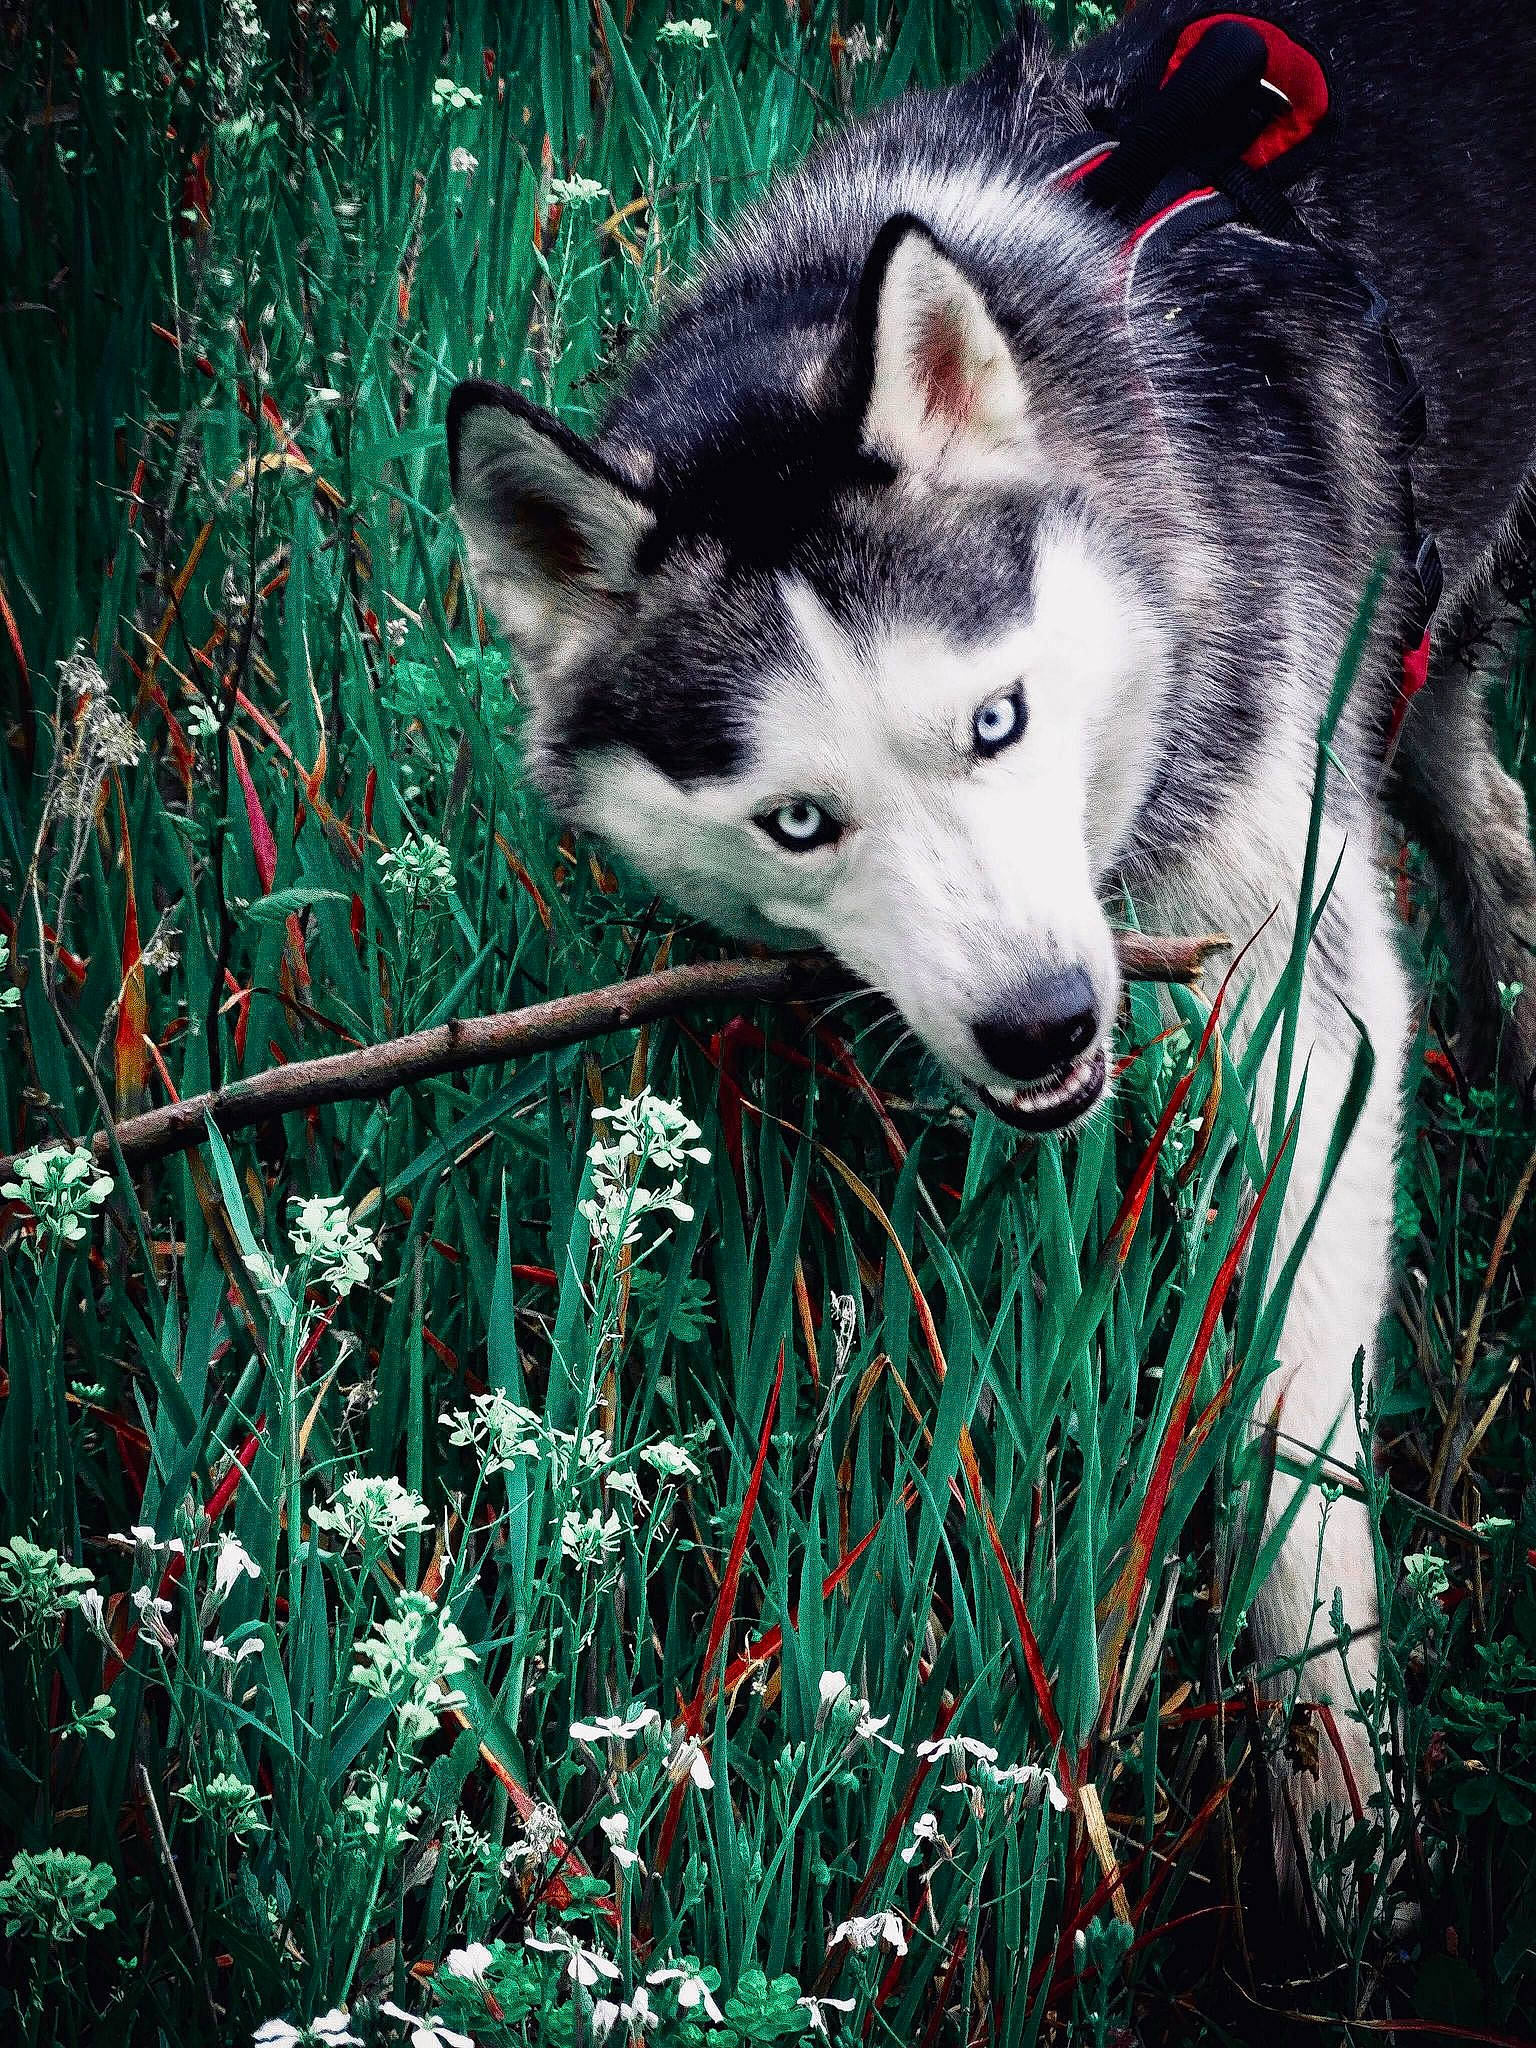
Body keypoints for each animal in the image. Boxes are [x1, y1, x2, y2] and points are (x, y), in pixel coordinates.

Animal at [448, 0, 1536, 1887]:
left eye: (998, 720)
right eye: (797, 822)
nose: (1043, 1025)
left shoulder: (1286, 982)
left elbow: (1293, 1441)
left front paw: (1341, 1798)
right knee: (1497, 824)